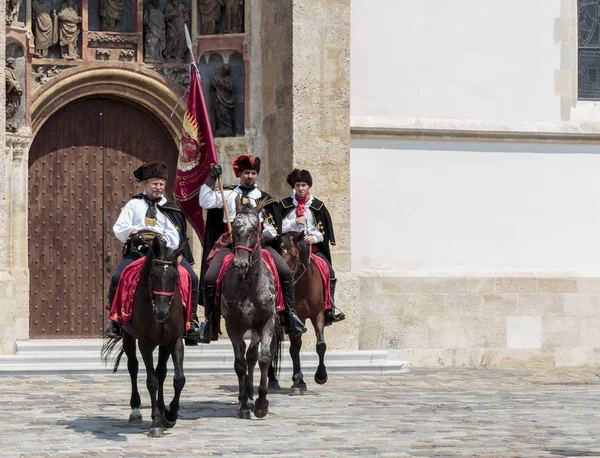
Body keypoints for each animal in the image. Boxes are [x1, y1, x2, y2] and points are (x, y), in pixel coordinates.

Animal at [102, 236, 189, 436]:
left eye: (175, 277)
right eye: (153, 276)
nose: (161, 313)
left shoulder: (175, 341)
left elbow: (178, 378)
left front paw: (170, 415)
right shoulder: (145, 343)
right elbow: (152, 381)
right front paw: (156, 421)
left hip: (163, 344)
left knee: (162, 372)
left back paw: (162, 409)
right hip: (128, 337)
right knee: (133, 367)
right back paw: (136, 410)